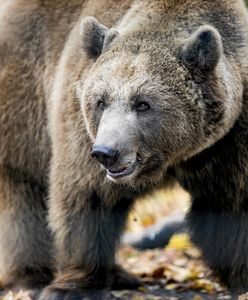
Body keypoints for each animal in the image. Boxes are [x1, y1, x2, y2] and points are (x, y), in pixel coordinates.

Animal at [0, 0, 248, 298]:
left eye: (143, 103)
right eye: (100, 101)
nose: (106, 152)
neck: (173, 157)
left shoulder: (229, 140)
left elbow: (232, 203)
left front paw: (240, 277)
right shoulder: (80, 128)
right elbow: (87, 195)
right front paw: (74, 286)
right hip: (25, 100)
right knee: (23, 187)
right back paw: (30, 278)